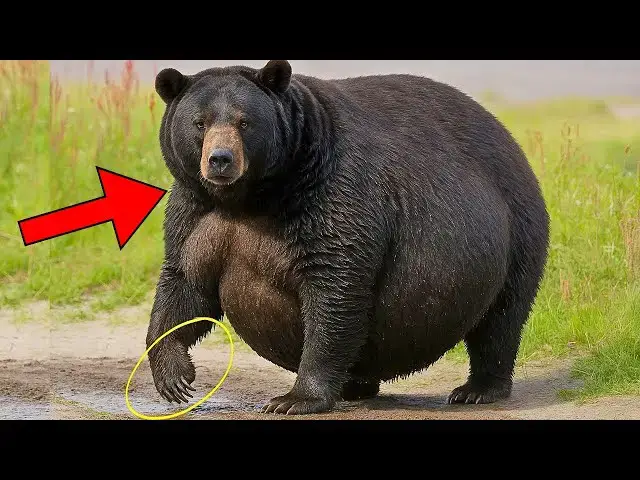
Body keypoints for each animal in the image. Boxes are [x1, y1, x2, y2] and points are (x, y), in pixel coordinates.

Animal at [145, 60, 550, 415]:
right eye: (200, 122)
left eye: (244, 121)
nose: (220, 159)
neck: (254, 199)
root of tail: (508, 136)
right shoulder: (197, 214)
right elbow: (185, 284)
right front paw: (174, 376)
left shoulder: (333, 197)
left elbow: (335, 289)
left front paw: (294, 399)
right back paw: (357, 385)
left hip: (513, 229)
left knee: (501, 318)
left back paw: (477, 389)